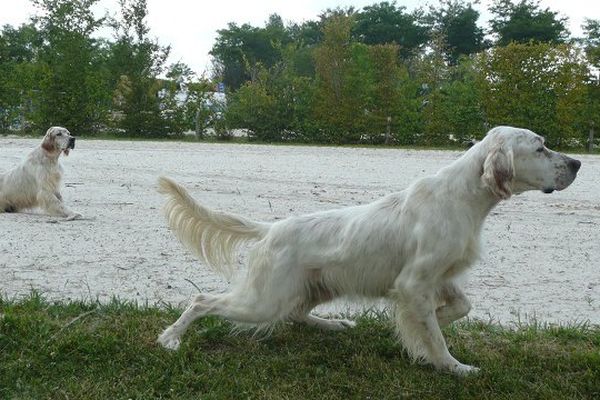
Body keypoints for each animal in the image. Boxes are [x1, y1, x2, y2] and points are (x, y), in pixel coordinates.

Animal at [157, 126, 580, 376]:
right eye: (541, 148)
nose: (577, 163)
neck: (462, 197)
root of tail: (272, 228)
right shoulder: (414, 282)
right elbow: (436, 336)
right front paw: (453, 366)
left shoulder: (440, 276)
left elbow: (457, 309)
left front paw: (422, 329)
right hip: (264, 299)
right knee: (202, 300)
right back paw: (171, 338)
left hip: (313, 288)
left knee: (296, 314)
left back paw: (336, 325)